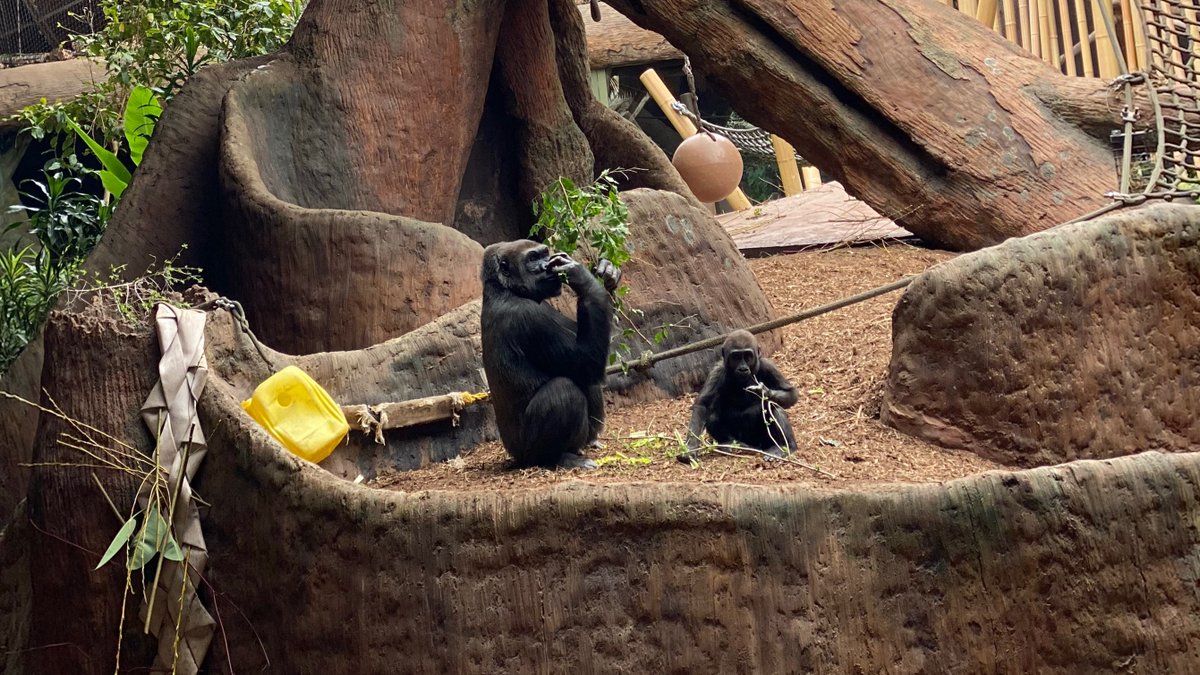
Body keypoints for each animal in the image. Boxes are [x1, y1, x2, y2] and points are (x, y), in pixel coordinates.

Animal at [480, 239, 621, 469]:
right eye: (532, 258)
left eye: (545, 254)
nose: (546, 265)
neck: (503, 289)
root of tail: (515, 457)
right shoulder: (527, 317)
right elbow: (586, 362)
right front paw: (581, 277)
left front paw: (608, 274)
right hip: (526, 455)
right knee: (565, 390)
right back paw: (556, 458)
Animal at [680, 330, 798, 462]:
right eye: (736, 357)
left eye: (747, 356)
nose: (742, 369)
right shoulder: (717, 371)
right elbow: (704, 405)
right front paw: (690, 447)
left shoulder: (768, 366)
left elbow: (790, 393)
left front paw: (764, 392)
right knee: (713, 416)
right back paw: (729, 444)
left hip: (762, 442)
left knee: (773, 407)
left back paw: (784, 447)